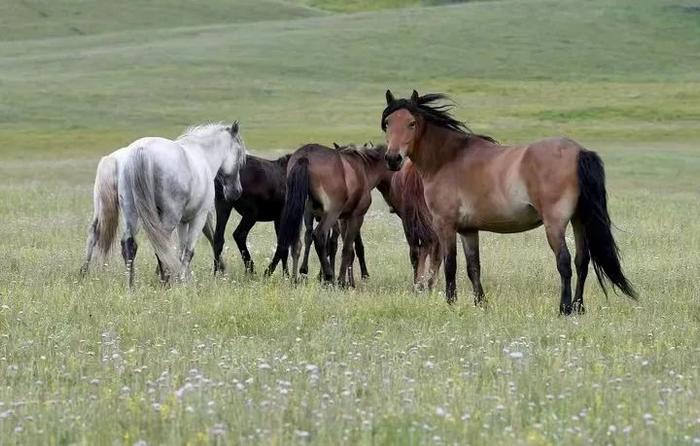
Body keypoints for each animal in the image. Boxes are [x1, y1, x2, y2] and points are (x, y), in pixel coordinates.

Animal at [80, 122, 246, 288]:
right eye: (240, 156)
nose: (236, 192)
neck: (202, 154)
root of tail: (140, 151)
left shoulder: (183, 221)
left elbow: (181, 250)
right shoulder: (199, 216)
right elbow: (189, 250)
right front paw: (182, 279)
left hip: (131, 213)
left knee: (126, 243)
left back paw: (129, 285)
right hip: (169, 217)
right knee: (161, 245)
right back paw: (164, 281)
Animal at [266, 145, 392, 288]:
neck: (364, 168)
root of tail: (305, 157)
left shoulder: (340, 219)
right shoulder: (355, 217)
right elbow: (348, 249)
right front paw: (343, 282)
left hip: (300, 209)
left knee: (298, 240)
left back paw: (296, 278)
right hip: (332, 212)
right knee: (319, 235)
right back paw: (329, 276)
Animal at [380, 89, 636, 314]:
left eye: (411, 123)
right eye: (388, 123)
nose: (392, 159)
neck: (448, 159)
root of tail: (579, 151)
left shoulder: (445, 225)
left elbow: (450, 265)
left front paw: (451, 304)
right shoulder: (468, 230)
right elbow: (473, 267)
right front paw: (480, 304)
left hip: (555, 224)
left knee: (564, 262)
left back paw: (564, 309)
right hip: (579, 221)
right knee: (581, 262)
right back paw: (579, 308)